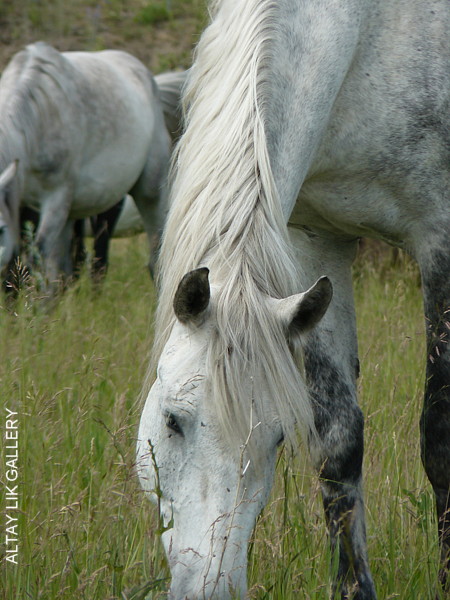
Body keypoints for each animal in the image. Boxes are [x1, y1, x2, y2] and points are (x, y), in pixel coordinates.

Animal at [0, 41, 174, 288]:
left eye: (0, 229)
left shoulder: (55, 198)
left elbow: (37, 257)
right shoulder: (21, 201)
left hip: (148, 194)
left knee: (153, 260)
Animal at [137, 2, 450, 596]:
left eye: (277, 438)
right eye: (172, 420)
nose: (211, 588)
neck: (376, 33)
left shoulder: (441, 240)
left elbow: (441, 437)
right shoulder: (315, 239)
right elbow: (337, 443)